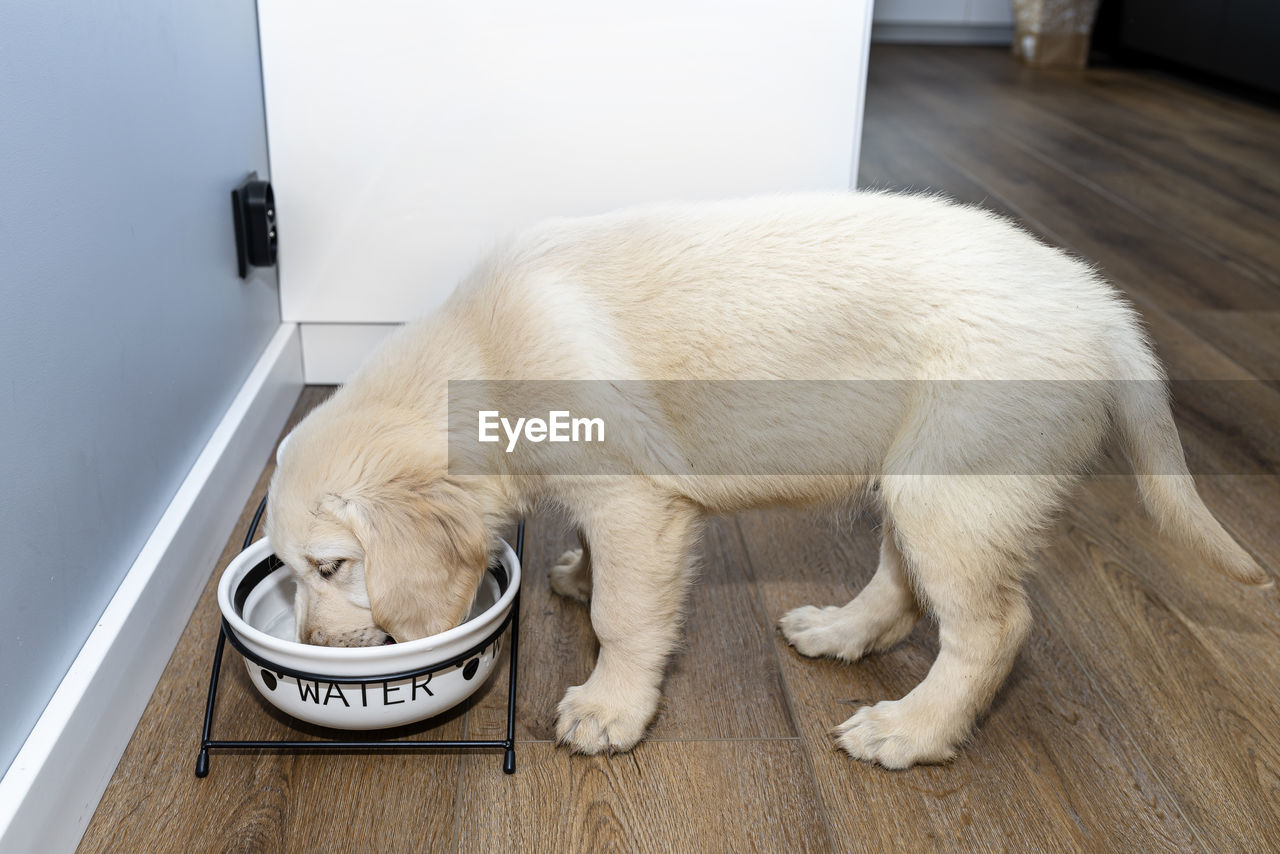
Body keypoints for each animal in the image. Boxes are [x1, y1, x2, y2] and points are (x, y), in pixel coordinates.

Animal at [264, 193, 1264, 768]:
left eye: (329, 567)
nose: (312, 647)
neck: (482, 354)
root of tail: (1105, 311)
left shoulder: (638, 502)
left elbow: (626, 618)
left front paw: (610, 707)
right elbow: (595, 564)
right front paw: (579, 572)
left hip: (955, 485)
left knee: (991, 629)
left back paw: (913, 732)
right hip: (915, 476)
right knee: (903, 585)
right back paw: (841, 632)